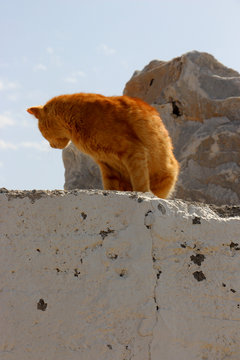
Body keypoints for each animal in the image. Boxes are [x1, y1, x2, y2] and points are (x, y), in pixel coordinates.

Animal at [27, 93, 179, 197]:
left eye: (42, 132)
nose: (51, 146)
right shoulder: (107, 164)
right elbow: (110, 186)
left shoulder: (134, 151)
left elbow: (139, 180)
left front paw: (144, 194)